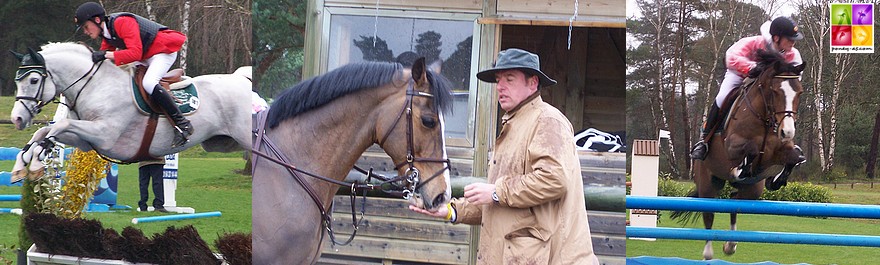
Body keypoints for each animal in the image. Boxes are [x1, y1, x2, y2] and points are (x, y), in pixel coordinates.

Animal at [8, 42, 251, 182]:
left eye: (34, 80)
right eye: (16, 81)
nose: (17, 119)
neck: (95, 84)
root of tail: (240, 79)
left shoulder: (104, 134)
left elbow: (60, 125)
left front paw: (37, 159)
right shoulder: (86, 140)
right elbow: (43, 132)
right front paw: (24, 163)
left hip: (245, 137)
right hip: (224, 143)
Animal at [676, 49, 808, 258]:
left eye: (799, 92)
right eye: (775, 91)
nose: (787, 132)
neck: (765, 117)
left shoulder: (779, 151)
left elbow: (794, 157)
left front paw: (777, 179)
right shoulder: (732, 145)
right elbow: (752, 148)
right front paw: (740, 169)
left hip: (752, 191)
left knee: (734, 202)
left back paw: (730, 245)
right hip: (707, 184)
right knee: (709, 214)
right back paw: (708, 252)